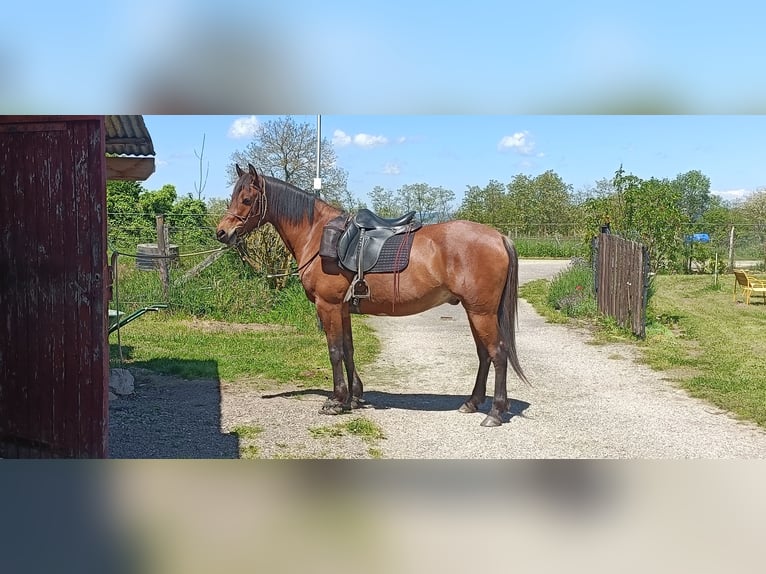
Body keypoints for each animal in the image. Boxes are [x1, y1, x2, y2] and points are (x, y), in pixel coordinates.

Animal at [216, 164, 528, 426]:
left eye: (247, 199)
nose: (222, 233)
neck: (317, 235)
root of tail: (499, 237)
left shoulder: (328, 306)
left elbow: (334, 351)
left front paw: (336, 401)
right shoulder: (342, 309)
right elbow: (348, 349)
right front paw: (354, 397)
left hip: (481, 312)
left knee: (498, 353)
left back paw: (495, 412)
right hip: (475, 311)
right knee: (484, 355)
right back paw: (472, 403)